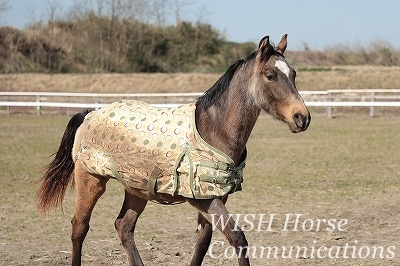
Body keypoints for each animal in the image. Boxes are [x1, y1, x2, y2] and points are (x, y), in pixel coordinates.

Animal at [36, 34, 312, 264]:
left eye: (294, 74)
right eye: (270, 75)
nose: (302, 117)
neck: (215, 129)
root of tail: (89, 113)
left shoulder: (215, 197)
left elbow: (202, 243)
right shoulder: (203, 199)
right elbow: (237, 238)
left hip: (137, 188)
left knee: (124, 226)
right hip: (91, 180)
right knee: (79, 227)